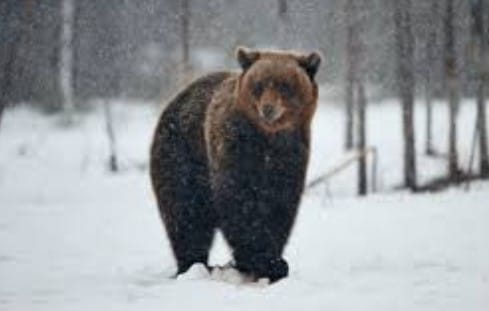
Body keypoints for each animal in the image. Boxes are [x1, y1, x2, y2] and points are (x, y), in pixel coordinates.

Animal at [149, 47, 320, 284]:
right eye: (259, 84)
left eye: (285, 85)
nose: (268, 108)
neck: (267, 139)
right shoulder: (233, 148)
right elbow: (238, 201)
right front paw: (261, 261)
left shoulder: (291, 156)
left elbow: (281, 204)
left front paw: (274, 260)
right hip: (181, 154)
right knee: (186, 214)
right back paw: (191, 264)